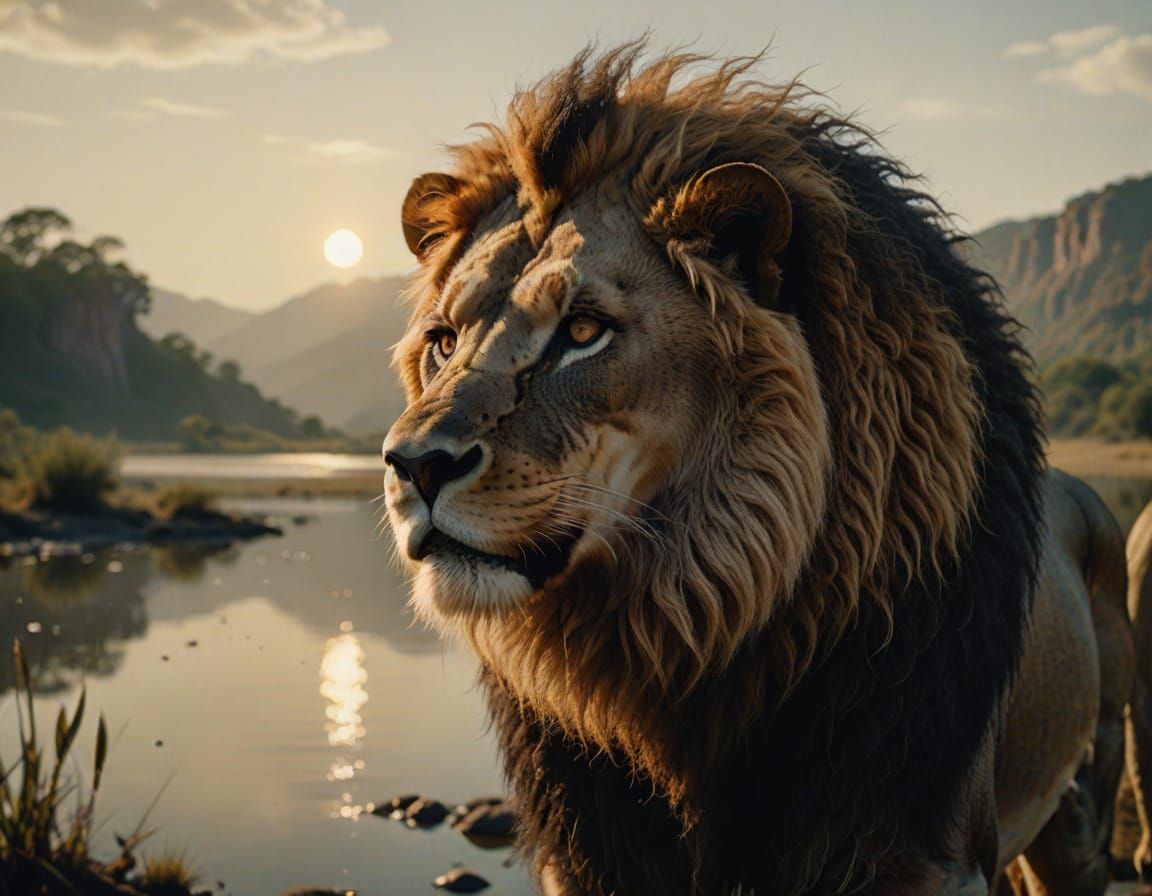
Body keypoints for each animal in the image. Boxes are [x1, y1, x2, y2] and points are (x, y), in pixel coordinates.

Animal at [382, 45, 1137, 894]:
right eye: (444, 341)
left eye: (582, 331)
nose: (412, 465)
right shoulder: (587, 858)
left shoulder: (925, 858)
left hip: (1087, 799)